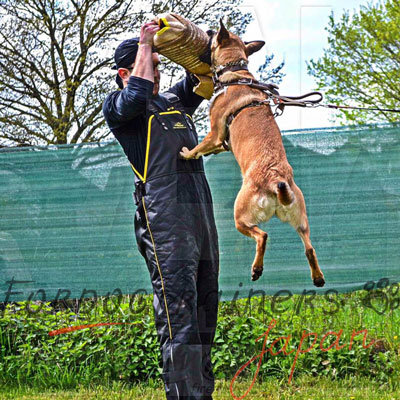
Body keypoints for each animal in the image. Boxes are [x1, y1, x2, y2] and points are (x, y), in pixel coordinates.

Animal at [179, 20, 324, 286]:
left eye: (213, 34)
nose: (207, 30)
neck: (236, 75)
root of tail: (276, 180)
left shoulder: (214, 134)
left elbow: (198, 147)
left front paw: (186, 153)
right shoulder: (220, 142)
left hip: (241, 216)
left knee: (262, 235)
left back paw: (256, 269)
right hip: (301, 220)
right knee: (309, 247)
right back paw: (317, 278)